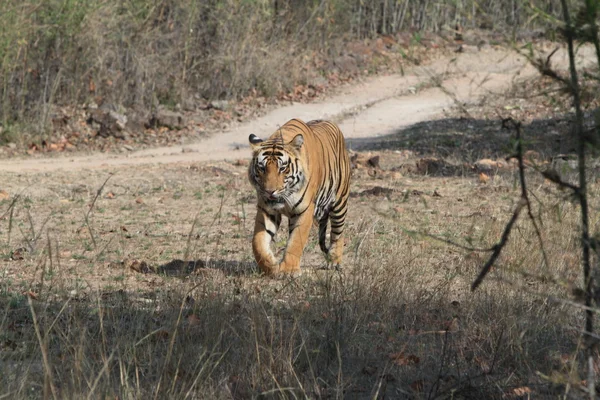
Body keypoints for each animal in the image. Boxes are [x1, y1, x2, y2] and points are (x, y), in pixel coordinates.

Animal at [248, 117, 352, 276]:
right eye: (262, 168)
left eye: (282, 168)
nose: (270, 191)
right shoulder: (266, 210)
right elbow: (257, 243)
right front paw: (271, 265)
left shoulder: (305, 210)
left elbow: (296, 241)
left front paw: (289, 270)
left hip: (340, 203)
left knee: (337, 233)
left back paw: (334, 261)